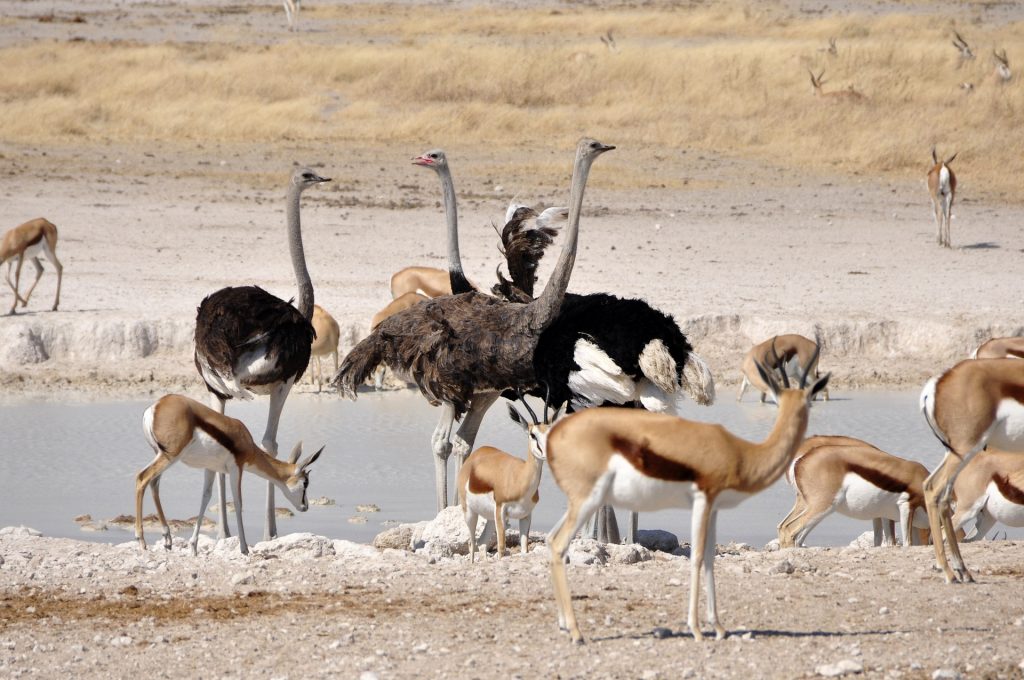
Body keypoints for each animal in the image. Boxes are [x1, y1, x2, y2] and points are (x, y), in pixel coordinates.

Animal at [134, 393, 321, 557]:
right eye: (305, 483)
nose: (305, 506)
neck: (244, 440)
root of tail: (155, 406)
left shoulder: (210, 467)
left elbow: (205, 498)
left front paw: (193, 547)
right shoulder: (236, 468)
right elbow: (238, 503)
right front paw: (244, 549)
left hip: (161, 454)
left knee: (154, 484)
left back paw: (167, 539)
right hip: (170, 456)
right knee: (142, 478)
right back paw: (141, 540)